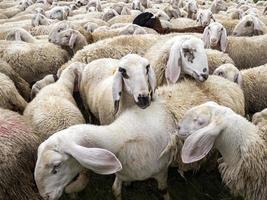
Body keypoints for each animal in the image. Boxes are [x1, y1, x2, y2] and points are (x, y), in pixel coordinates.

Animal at [33, 74, 245, 200]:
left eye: (56, 166)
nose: (44, 196)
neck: (121, 136)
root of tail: (224, 80)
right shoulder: (122, 171)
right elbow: (116, 190)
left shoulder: (161, 171)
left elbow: (163, 191)